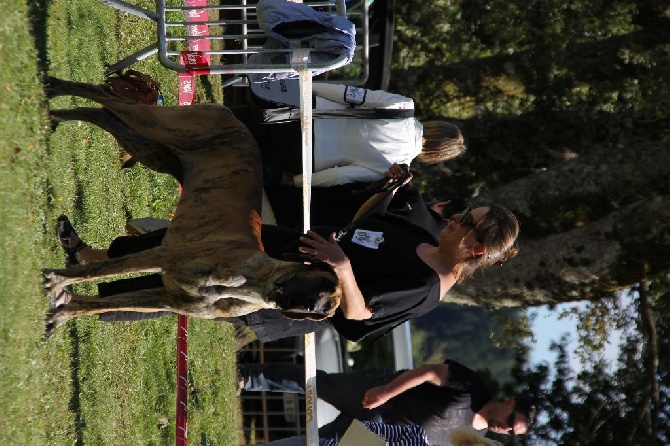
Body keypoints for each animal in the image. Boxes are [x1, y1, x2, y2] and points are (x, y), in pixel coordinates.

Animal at [43, 76, 342, 336]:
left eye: (323, 309)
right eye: (319, 286)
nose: (307, 306)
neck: (251, 284)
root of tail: (233, 115)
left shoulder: (165, 298)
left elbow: (99, 304)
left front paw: (62, 315)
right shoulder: (160, 257)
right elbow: (94, 271)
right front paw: (58, 280)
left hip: (154, 149)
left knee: (104, 114)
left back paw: (56, 113)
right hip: (158, 124)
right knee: (108, 97)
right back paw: (56, 87)